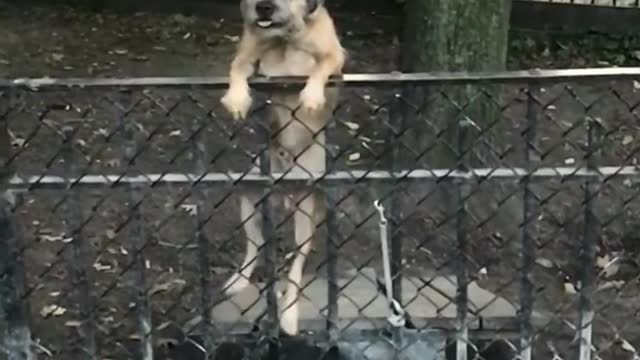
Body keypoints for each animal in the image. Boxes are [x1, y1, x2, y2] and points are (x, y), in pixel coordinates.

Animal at [222, 0, 348, 334]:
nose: (263, 8)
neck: (284, 40)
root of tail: (284, 195)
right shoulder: (249, 53)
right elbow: (237, 66)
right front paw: (236, 98)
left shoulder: (334, 57)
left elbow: (320, 66)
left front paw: (312, 95)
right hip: (250, 198)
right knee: (254, 246)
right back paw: (239, 280)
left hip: (305, 216)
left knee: (295, 270)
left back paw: (289, 316)